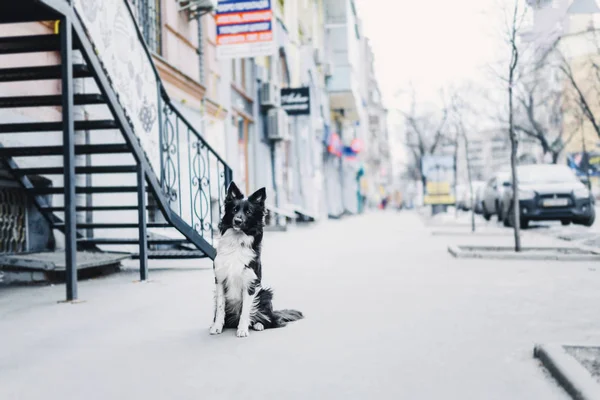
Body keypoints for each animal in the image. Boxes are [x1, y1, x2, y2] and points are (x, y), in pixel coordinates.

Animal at [211, 184, 304, 338]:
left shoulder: (250, 283)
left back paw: (258, 325)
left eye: (249, 212)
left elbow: (245, 311)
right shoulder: (220, 279)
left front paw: (242, 329)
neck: (237, 242)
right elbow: (220, 307)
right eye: (234, 209)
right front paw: (217, 327)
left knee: (270, 321)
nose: (237, 221)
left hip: (264, 293)